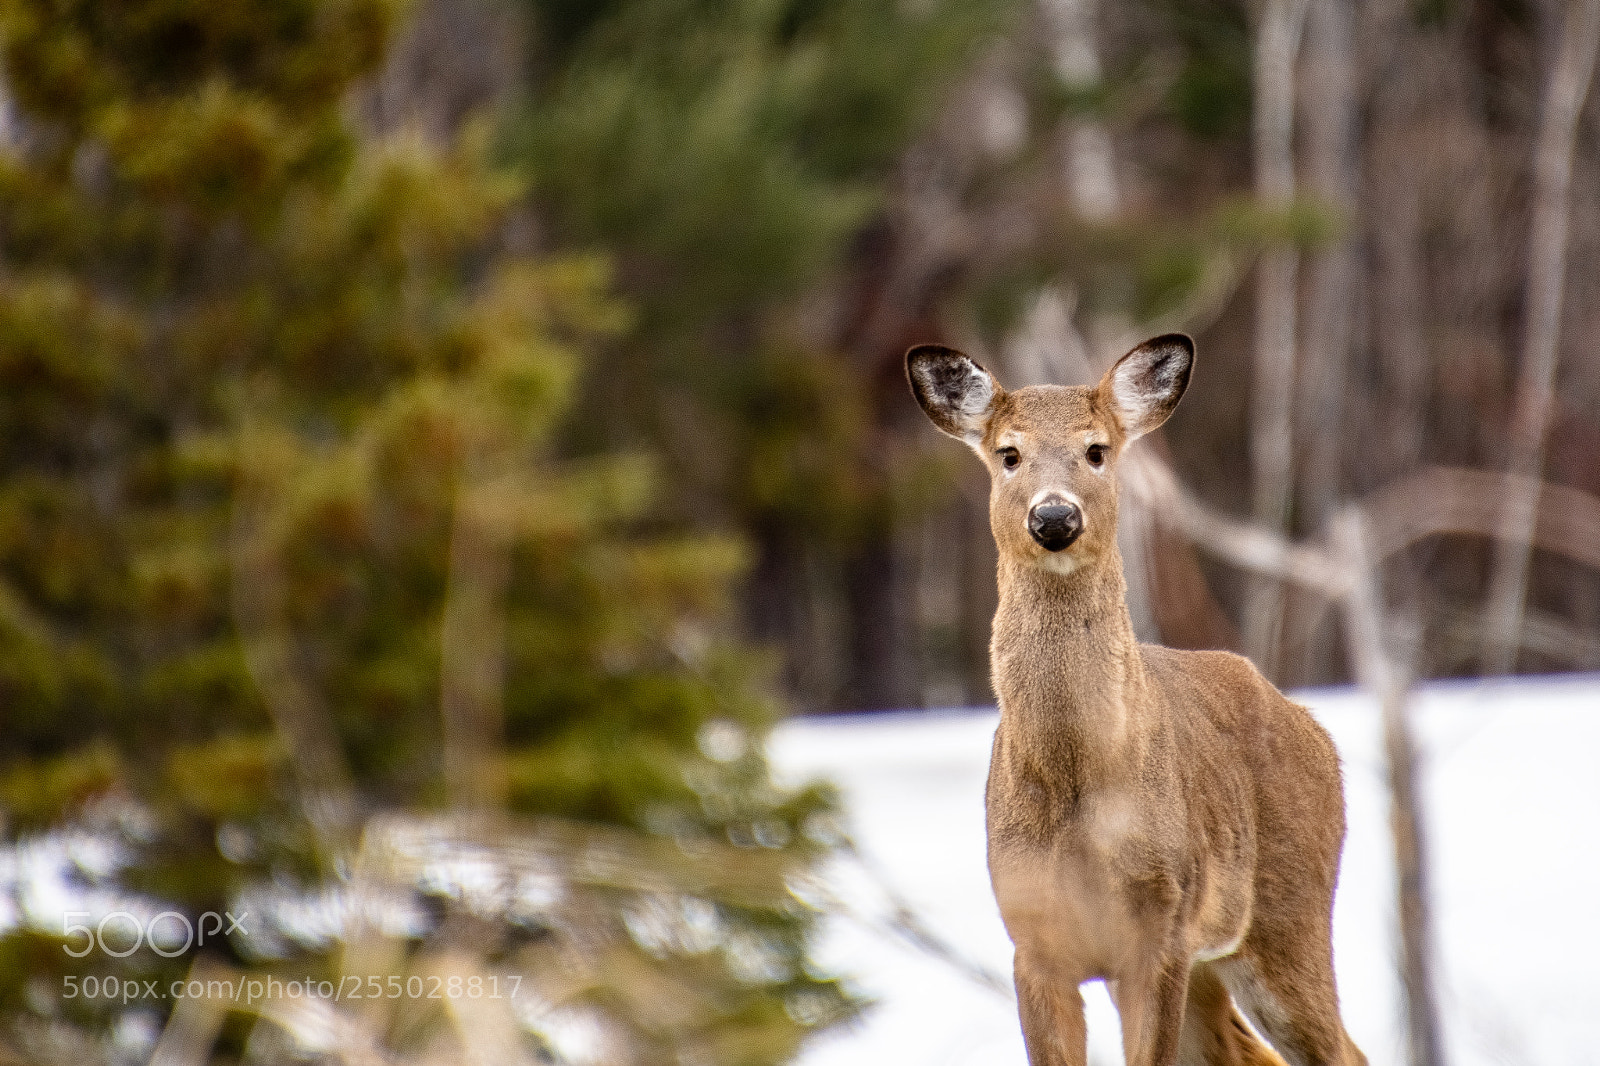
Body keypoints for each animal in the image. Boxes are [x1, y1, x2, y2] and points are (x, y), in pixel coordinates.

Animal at [906, 334, 1365, 1066]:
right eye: (1009, 453)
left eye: (1097, 450)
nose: (1055, 516)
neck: (1076, 777)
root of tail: (1311, 726)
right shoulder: (1031, 938)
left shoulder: (1159, 930)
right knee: (1244, 1053)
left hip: (1288, 911)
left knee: (1342, 1049)